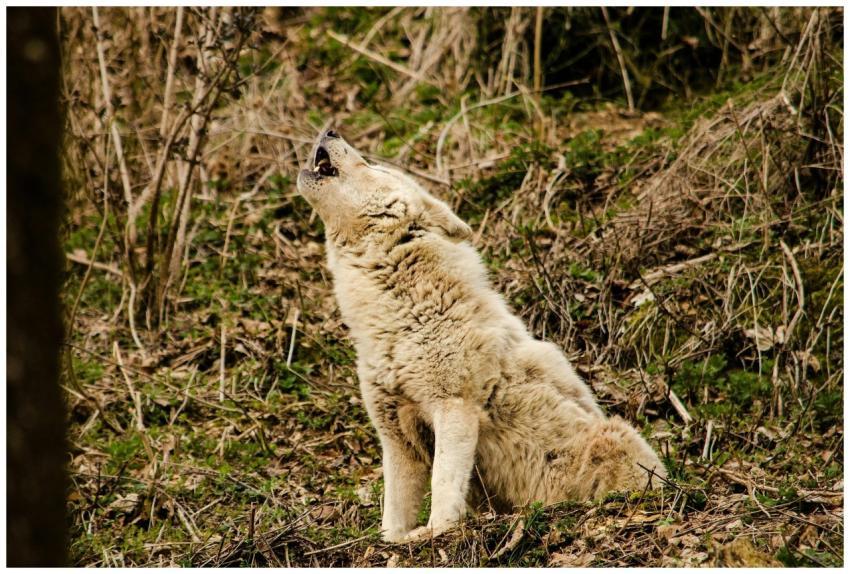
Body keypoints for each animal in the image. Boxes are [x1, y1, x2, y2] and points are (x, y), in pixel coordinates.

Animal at [297, 130, 666, 543]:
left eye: (375, 167)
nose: (330, 131)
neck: (399, 316)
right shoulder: (396, 436)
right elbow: (393, 511)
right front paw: (393, 541)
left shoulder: (455, 407)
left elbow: (443, 484)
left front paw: (436, 531)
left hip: (614, 435)